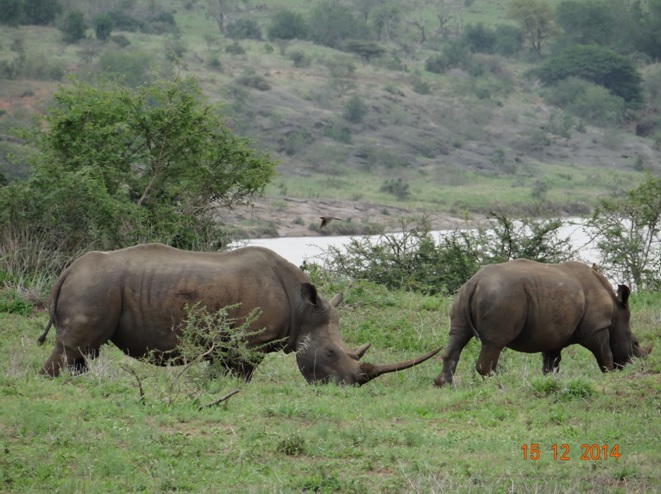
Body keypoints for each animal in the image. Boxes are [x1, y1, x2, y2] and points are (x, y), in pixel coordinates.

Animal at [36, 245, 438, 384]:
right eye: (330, 353)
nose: (351, 385)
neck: (303, 309)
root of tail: (66, 271)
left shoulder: (230, 340)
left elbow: (219, 370)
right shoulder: (251, 341)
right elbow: (240, 373)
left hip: (93, 285)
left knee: (81, 352)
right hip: (94, 285)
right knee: (73, 349)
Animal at [434, 258, 648, 386]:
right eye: (635, 343)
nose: (636, 366)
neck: (616, 312)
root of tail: (475, 282)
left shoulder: (553, 334)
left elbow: (551, 363)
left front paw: (551, 381)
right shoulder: (596, 328)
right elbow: (605, 354)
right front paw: (611, 375)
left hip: (464, 294)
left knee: (458, 336)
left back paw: (444, 384)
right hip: (502, 297)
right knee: (494, 343)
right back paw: (498, 384)